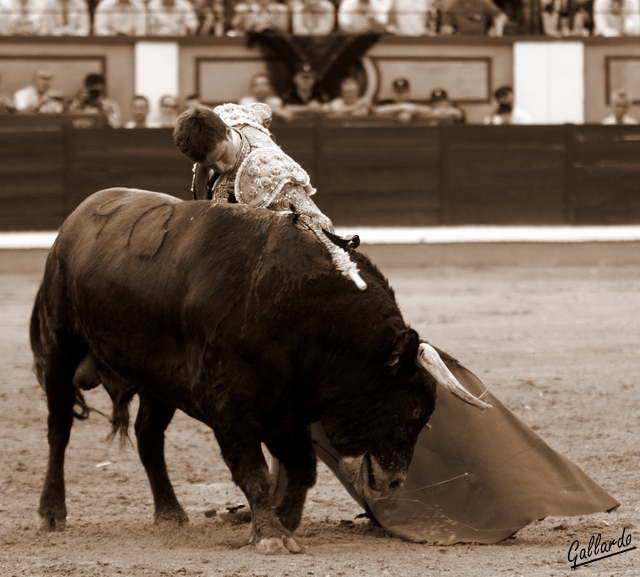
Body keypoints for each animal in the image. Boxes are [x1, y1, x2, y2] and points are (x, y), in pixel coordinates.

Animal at [30, 187, 488, 552]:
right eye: (411, 409)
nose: (397, 483)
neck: (305, 314)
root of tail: (74, 221)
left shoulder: (284, 410)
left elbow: (301, 470)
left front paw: (283, 522)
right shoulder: (232, 406)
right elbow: (256, 473)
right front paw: (270, 535)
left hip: (158, 381)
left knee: (148, 437)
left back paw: (170, 514)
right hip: (60, 345)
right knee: (58, 429)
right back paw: (52, 513)